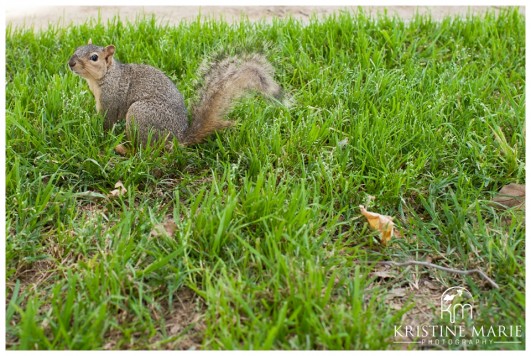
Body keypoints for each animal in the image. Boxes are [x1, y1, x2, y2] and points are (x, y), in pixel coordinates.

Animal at [68, 39, 284, 149]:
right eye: (77, 48)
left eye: (94, 57)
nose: (71, 63)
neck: (104, 77)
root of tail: (178, 137)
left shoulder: (111, 101)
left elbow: (108, 122)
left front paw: (102, 138)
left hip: (141, 113)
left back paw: (125, 149)